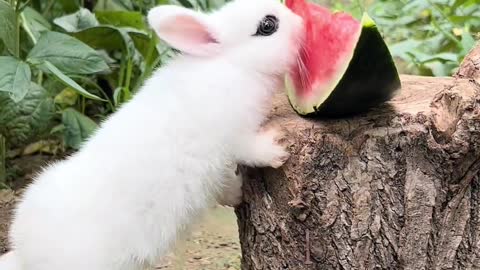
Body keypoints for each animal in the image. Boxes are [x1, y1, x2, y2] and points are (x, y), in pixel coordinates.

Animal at [0, 0, 304, 268]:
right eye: (267, 25)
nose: (304, 24)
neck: (234, 65)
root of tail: (24, 254)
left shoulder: (216, 168)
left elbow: (224, 185)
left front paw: (238, 194)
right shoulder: (230, 133)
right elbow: (249, 149)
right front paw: (277, 150)